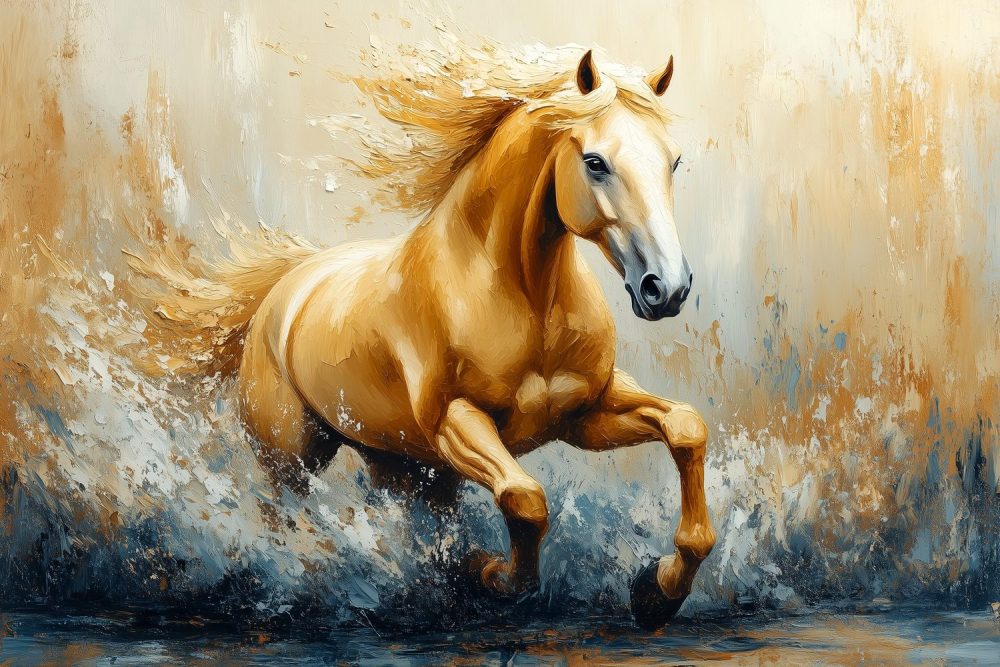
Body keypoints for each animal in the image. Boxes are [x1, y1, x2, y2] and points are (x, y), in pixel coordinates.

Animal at [132, 45, 716, 630]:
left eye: (674, 162)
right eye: (595, 163)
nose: (667, 288)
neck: (523, 298)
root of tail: (286, 288)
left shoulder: (586, 414)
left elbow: (686, 428)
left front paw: (657, 589)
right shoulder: (454, 422)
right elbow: (525, 499)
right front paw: (489, 574)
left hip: (408, 469)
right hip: (292, 461)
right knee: (287, 521)